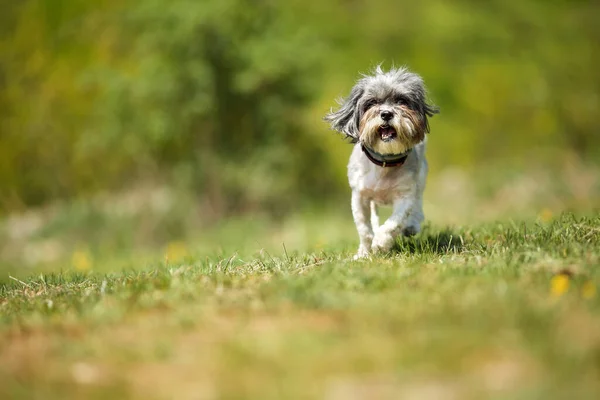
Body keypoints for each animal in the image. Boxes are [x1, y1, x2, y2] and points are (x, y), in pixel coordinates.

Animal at [326, 65, 438, 260]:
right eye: (372, 103)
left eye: (401, 100)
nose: (386, 113)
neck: (385, 163)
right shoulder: (359, 197)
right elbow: (364, 230)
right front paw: (364, 253)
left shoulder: (405, 196)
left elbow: (394, 223)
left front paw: (381, 243)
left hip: (421, 179)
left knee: (417, 206)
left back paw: (411, 225)